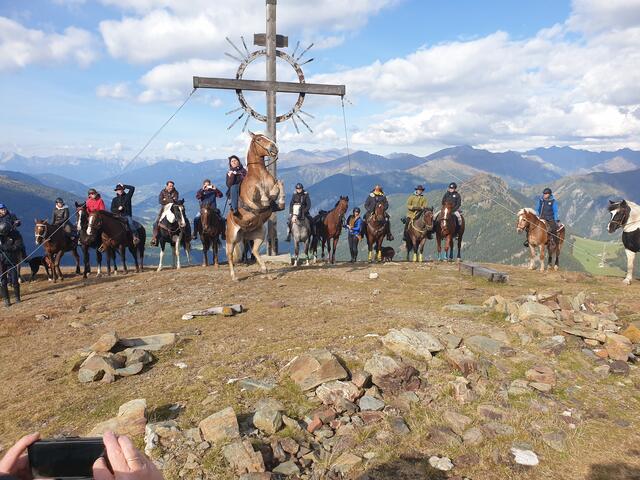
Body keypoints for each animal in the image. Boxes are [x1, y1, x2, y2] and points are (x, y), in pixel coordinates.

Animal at [226, 131, 284, 282]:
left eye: (267, 137)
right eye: (258, 139)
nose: (274, 147)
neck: (259, 174)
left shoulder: (275, 187)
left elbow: (279, 184)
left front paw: (281, 201)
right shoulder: (251, 196)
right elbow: (258, 189)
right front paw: (264, 198)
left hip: (259, 234)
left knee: (254, 250)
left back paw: (266, 271)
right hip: (232, 238)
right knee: (230, 255)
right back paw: (234, 276)